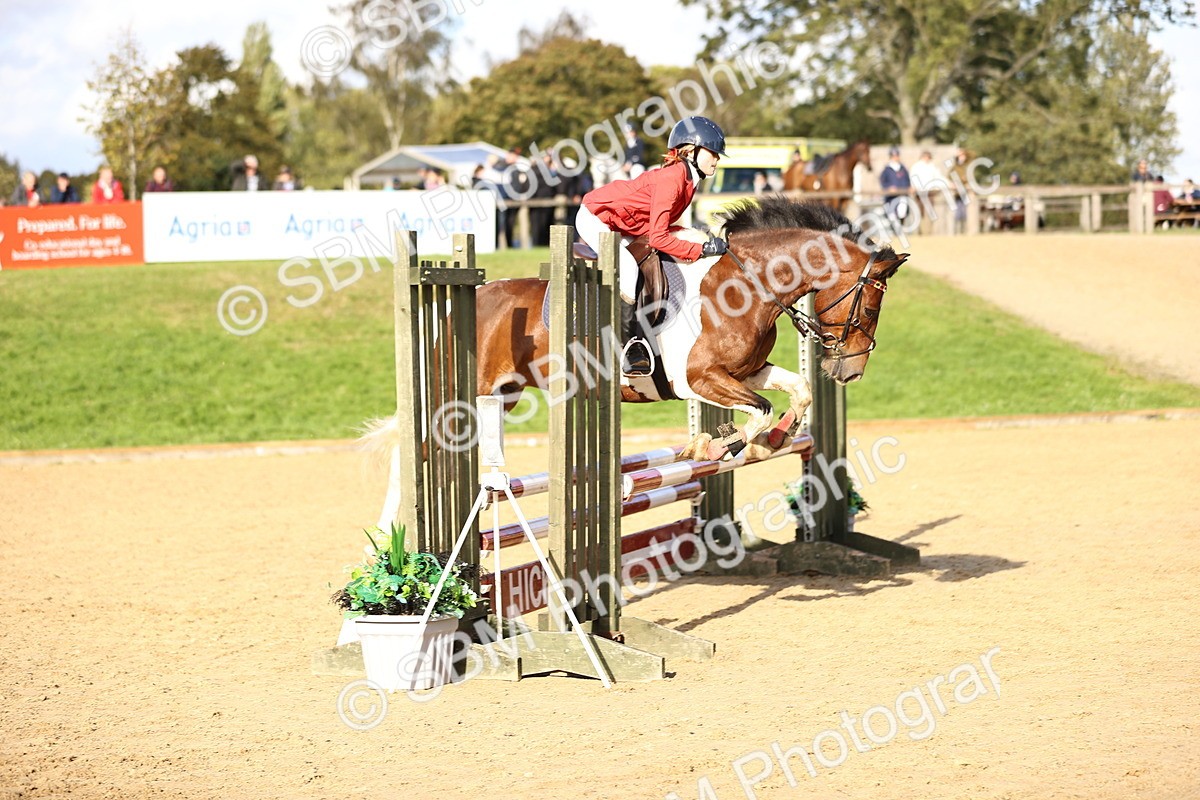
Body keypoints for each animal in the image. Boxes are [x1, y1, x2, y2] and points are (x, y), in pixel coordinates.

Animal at [475, 197, 907, 461]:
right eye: (870, 308)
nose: (851, 372)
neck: (746, 285)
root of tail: (476, 291)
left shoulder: (744, 371)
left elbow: (798, 390)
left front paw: (776, 438)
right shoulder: (699, 378)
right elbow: (761, 410)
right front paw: (712, 449)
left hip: (506, 395)